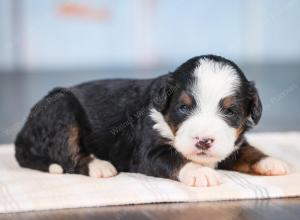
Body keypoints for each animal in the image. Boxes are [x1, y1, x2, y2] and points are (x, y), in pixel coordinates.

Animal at [14, 54, 288, 186]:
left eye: (230, 111)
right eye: (183, 107)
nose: (203, 141)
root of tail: (21, 135)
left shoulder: (230, 145)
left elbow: (248, 151)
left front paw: (272, 161)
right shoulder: (148, 151)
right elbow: (176, 159)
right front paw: (200, 173)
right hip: (61, 108)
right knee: (67, 156)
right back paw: (99, 166)